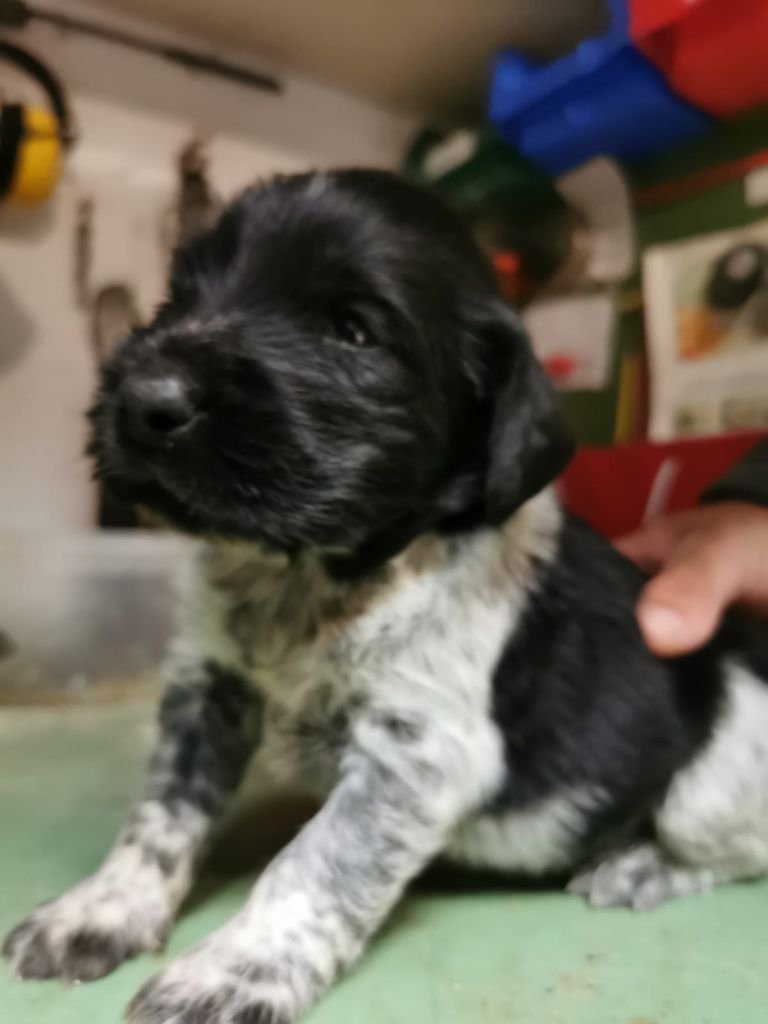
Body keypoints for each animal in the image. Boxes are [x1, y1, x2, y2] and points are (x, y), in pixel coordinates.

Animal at [5, 170, 768, 1024]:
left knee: (735, 850)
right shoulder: (208, 691)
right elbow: (161, 813)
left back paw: (640, 863)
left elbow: (315, 860)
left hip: (715, 776)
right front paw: (103, 908)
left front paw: (239, 968)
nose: (145, 398)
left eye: (354, 332)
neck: (312, 575)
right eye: (180, 294)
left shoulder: (418, 750)